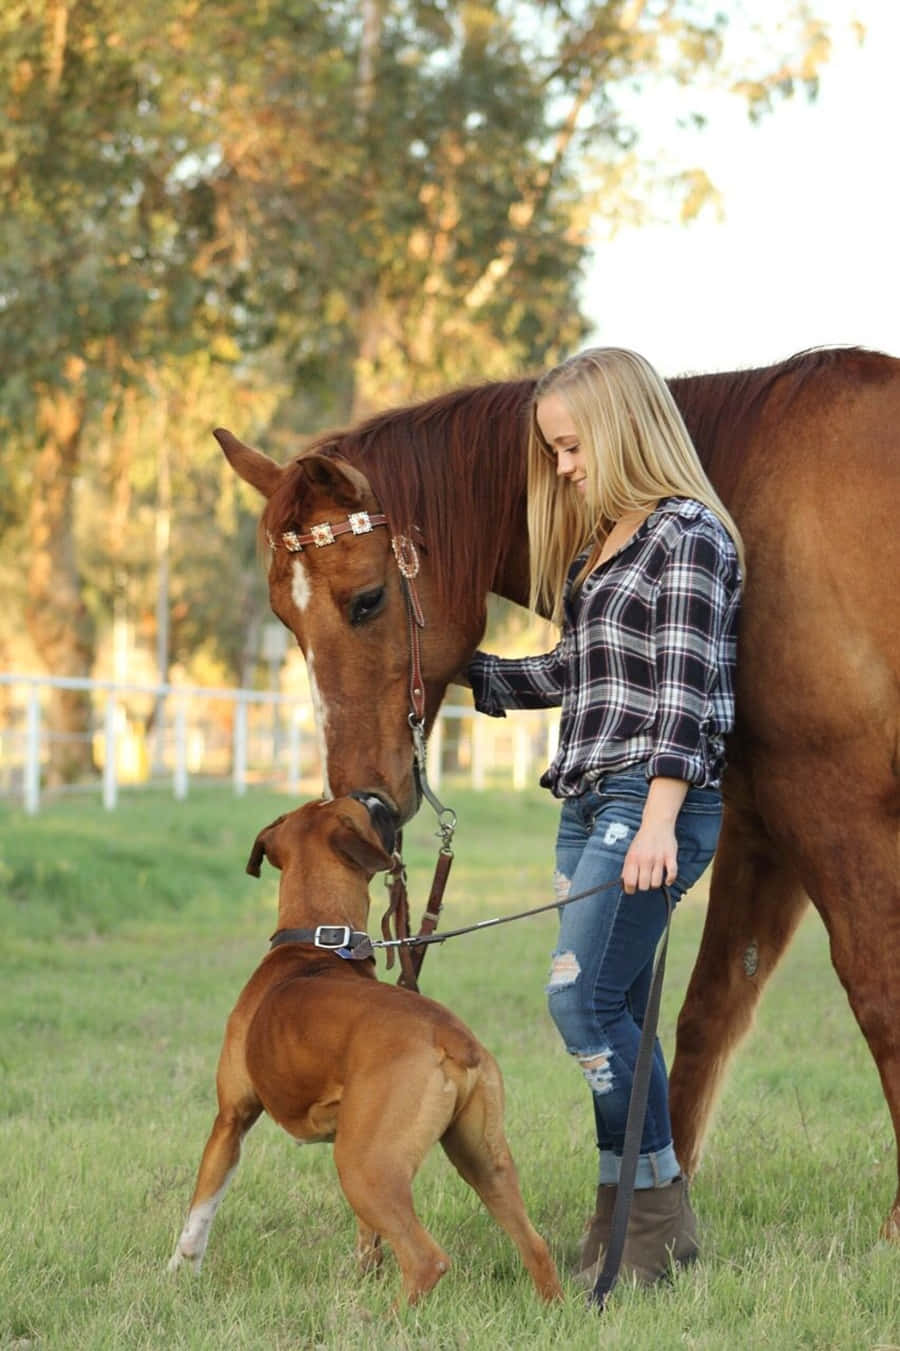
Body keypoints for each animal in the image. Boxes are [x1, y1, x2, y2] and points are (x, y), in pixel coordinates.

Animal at [166, 794, 562, 1302]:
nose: (376, 797)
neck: (317, 944)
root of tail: (450, 1036)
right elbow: (367, 1236)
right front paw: (364, 1272)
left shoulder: (231, 1119)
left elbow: (201, 1209)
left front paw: (178, 1271)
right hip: (481, 1159)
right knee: (534, 1244)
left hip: (364, 1166)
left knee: (425, 1260)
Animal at [216, 345, 897, 1237]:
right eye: (284, 621)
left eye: (365, 601)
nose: (363, 796)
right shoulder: (758, 822)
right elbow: (704, 1011)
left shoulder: (835, 806)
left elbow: (879, 996)